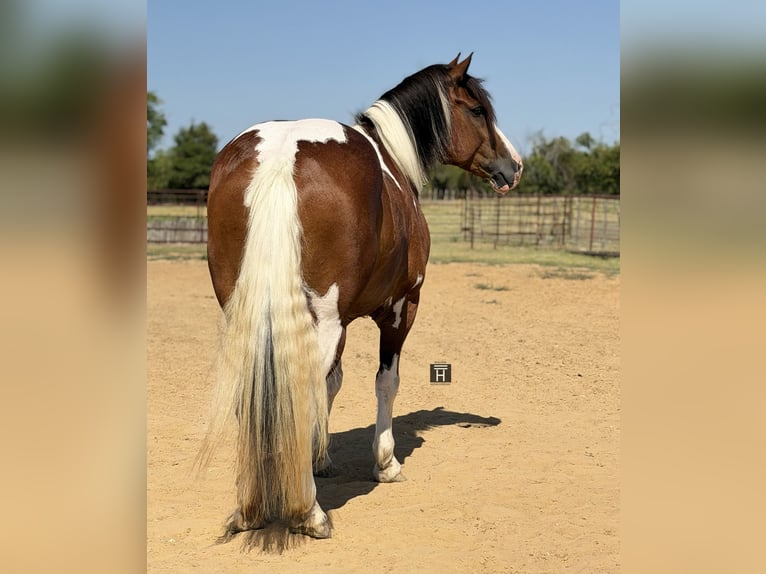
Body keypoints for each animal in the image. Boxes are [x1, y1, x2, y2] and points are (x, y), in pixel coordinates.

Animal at [199, 53, 523, 540]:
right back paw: (309, 513)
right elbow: (385, 381)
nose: (513, 166)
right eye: (477, 110)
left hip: (247, 317)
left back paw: (250, 507)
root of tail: (280, 155)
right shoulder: (400, 308)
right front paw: (386, 463)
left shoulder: (343, 320)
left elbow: (332, 383)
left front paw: (320, 457)